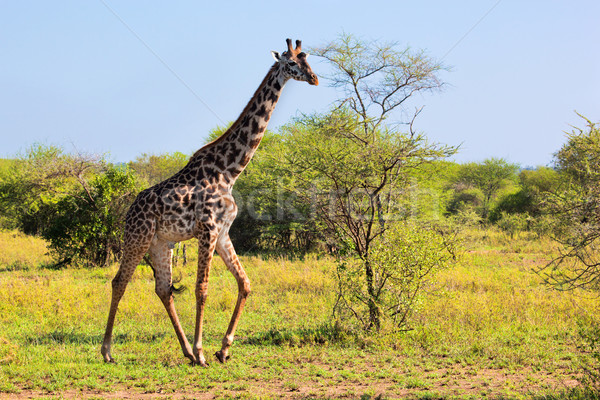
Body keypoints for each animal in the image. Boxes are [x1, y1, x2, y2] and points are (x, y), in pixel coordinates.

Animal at [102, 39, 318, 368]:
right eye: (291, 63)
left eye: (308, 60)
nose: (314, 79)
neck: (229, 171)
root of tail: (129, 211)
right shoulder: (208, 229)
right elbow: (202, 289)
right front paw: (204, 351)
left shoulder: (224, 232)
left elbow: (245, 283)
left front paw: (223, 348)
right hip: (138, 237)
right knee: (119, 281)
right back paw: (108, 351)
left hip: (160, 244)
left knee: (162, 289)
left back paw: (186, 351)